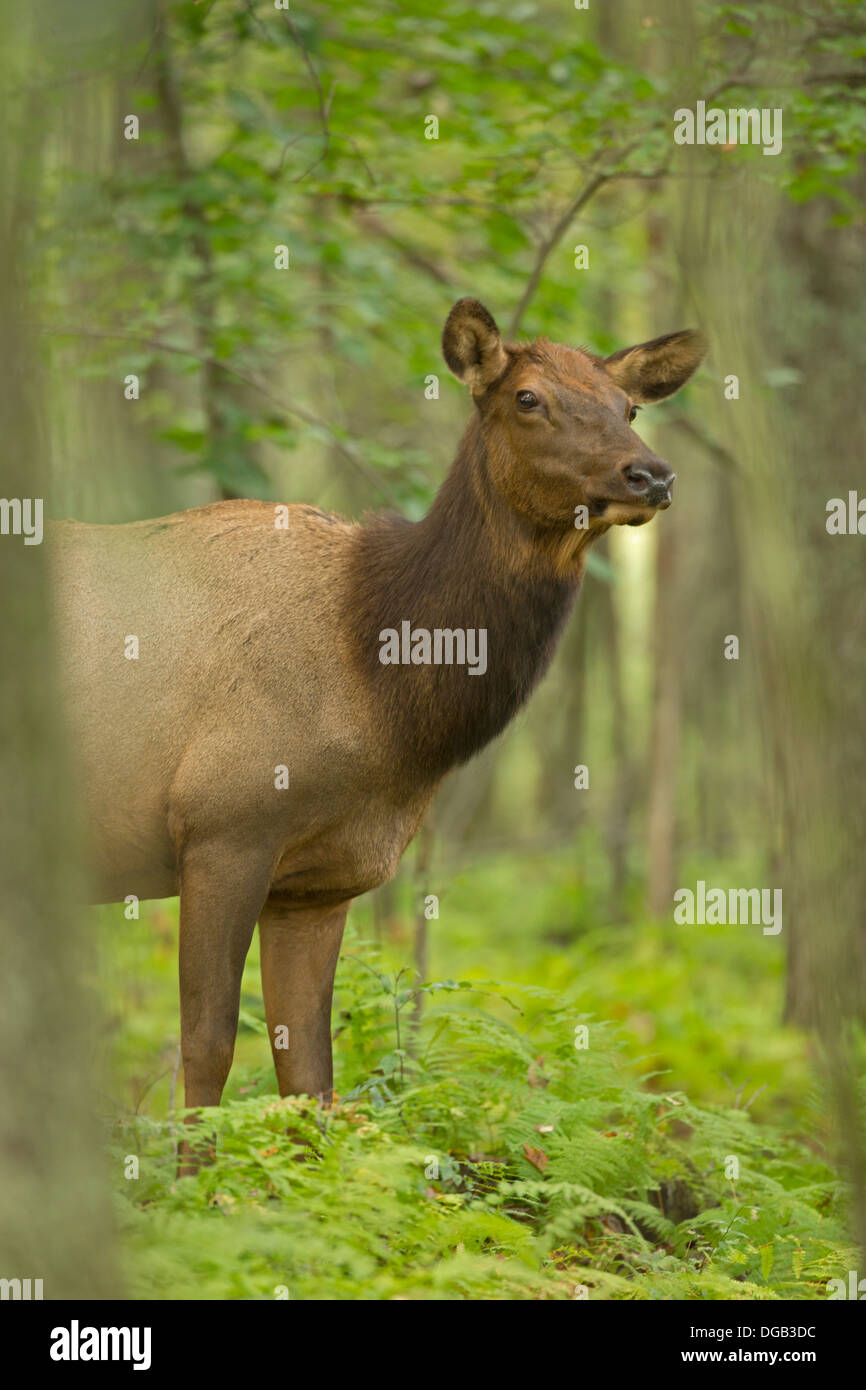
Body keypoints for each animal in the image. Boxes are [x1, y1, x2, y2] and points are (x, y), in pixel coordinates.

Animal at [50, 298, 706, 1167]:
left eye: (628, 406)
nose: (652, 475)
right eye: (527, 398)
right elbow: (208, 1044)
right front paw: (194, 1184)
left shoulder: (320, 879)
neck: (383, 699)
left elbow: (309, 1073)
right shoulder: (222, 824)